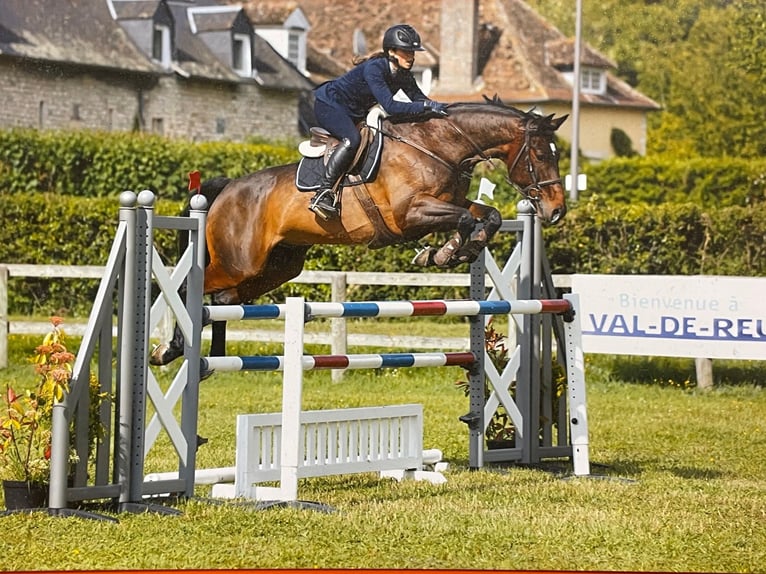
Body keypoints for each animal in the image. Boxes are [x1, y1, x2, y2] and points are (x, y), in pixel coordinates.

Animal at [152, 95, 568, 366]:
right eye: (541, 154)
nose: (556, 211)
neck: (437, 146)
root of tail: (227, 189)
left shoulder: (448, 203)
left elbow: (488, 214)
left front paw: (454, 250)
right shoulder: (410, 215)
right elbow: (467, 220)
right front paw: (447, 252)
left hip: (275, 268)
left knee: (223, 301)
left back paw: (214, 358)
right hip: (239, 262)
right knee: (190, 289)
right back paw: (170, 350)